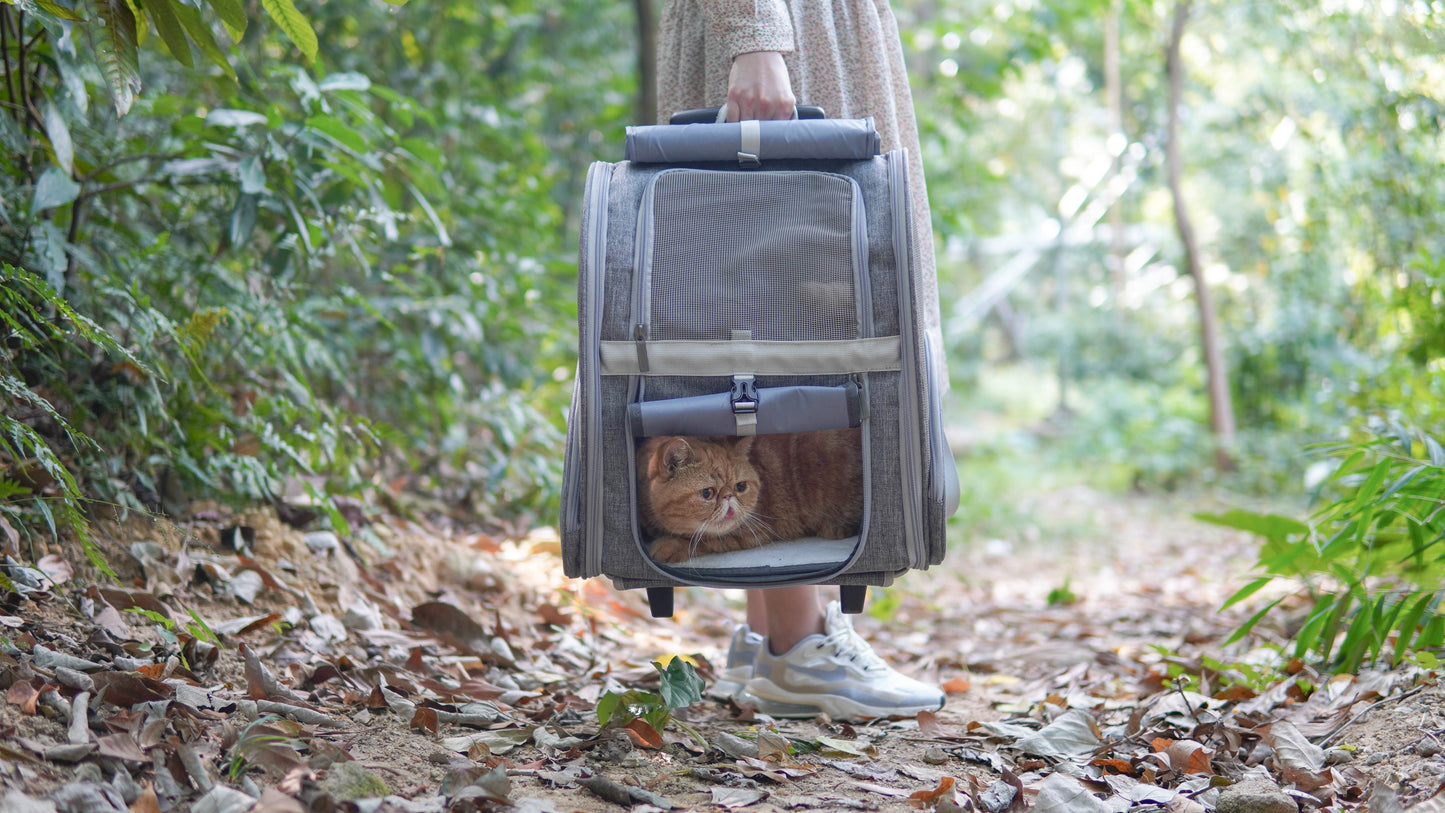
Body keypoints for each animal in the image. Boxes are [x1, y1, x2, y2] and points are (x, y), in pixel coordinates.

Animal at [632, 427, 855, 566]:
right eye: (707, 493)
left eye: (740, 486)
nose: (729, 496)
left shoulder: (753, 531)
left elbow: (706, 539)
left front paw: (670, 545)